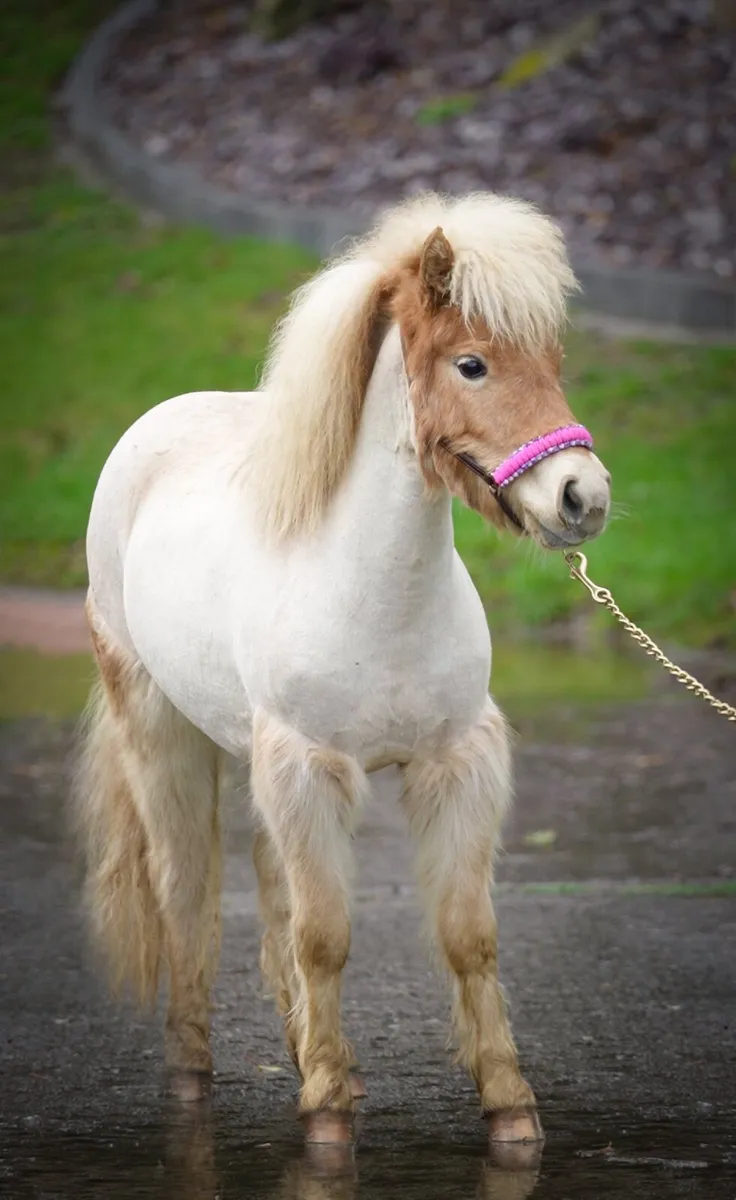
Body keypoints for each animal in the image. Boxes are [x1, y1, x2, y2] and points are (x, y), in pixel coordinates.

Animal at [75, 192, 611, 1152]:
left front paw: (509, 1105)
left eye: (552, 361)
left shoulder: (454, 765)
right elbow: (324, 937)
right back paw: (196, 1069)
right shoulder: (309, 767)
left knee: (269, 896)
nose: (582, 498)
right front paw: (325, 1114)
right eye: (471, 363)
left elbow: (466, 935)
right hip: (162, 731)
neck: (374, 592)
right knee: (188, 895)